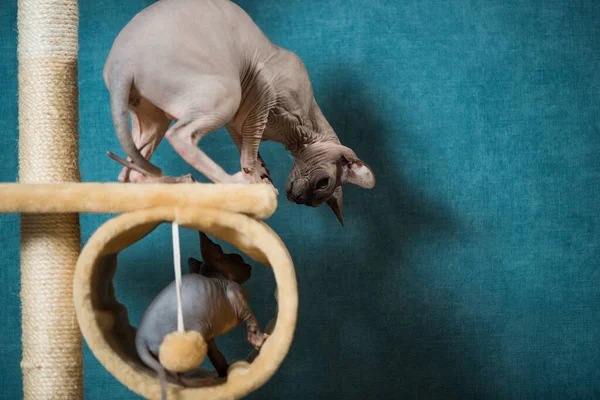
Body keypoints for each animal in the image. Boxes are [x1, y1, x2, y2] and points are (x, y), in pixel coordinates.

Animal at [103, 0, 376, 225]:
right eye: (324, 183)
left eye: (315, 197)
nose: (297, 199)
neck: (302, 132)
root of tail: (121, 62)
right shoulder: (262, 91)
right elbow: (250, 147)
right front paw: (254, 181)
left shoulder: (237, 121)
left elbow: (249, 150)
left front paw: (262, 175)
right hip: (227, 91)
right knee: (180, 137)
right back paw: (230, 183)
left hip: (154, 119)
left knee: (129, 175)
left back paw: (182, 182)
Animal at [137, 233, 268, 396]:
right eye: (238, 259)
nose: (250, 266)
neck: (219, 277)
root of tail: (141, 337)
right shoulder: (235, 294)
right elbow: (251, 318)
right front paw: (258, 339)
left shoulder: (208, 335)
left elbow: (215, 354)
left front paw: (224, 374)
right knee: (176, 376)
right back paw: (201, 383)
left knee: (172, 374)